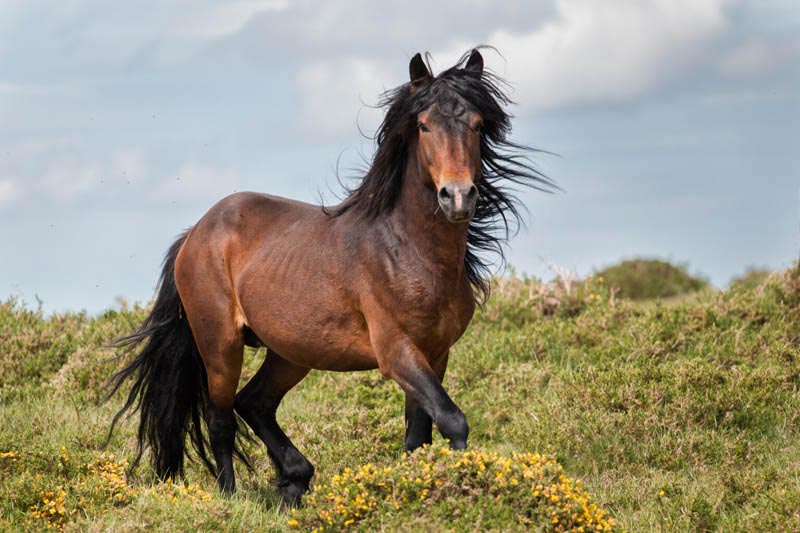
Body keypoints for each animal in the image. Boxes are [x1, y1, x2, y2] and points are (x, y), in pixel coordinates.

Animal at [106, 48, 552, 505]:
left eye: (478, 124)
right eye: (424, 125)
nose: (458, 197)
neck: (407, 250)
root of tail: (196, 232)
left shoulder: (435, 354)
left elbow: (418, 436)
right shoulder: (396, 352)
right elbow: (452, 419)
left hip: (291, 351)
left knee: (255, 403)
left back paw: (294, 480)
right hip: (220, 344)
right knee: (221, 419)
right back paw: (230, 499)